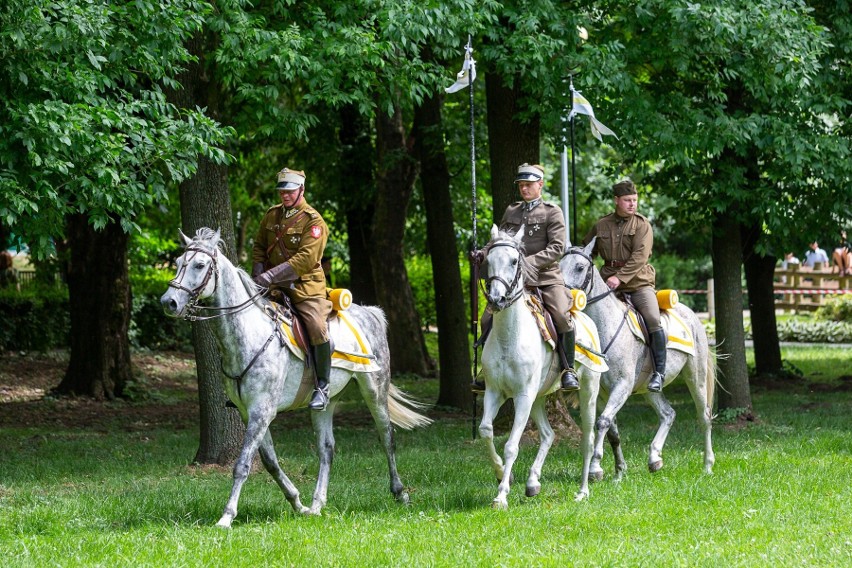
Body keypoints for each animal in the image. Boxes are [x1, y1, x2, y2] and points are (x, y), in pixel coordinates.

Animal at [158, 227, 432, 528]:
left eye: (199, 265)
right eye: (178, 262)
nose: (169, 302)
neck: (249, 334)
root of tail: (371, 312)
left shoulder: (262, 411)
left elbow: (242, 464)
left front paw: (227, 516)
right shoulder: (249, 412)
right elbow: (270, 462)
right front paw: (297, 503)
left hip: (374, 390)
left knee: (387, 436)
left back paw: (400, 493)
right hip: (327, 402)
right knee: (327, 448)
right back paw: (317, 504)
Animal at [476, 224, 604, 508]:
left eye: (514, 261)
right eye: (488, 260)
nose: (496, 299)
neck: (509, 336)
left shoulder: (522, 395)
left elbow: (511, 445)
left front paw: (501, 495)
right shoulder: (494, 392)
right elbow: (485, 431)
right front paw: (501, 472)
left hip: (587, 392)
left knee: (588, 440)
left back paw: (583, 490)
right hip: (539, 398)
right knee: (548, 435)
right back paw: (533, 482)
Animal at [560, 239, 712, 480]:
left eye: (580, 267)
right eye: (558, 265)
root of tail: (692, 315)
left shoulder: (622, 386)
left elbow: (603, 422)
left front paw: (595, 468)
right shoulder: (602, 393)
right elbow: (612, 429)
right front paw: (619, 470)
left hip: (695, 377)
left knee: (704, 416)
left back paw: (707, 465)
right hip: (648, 389)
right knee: (668, 414)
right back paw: (655, 458)